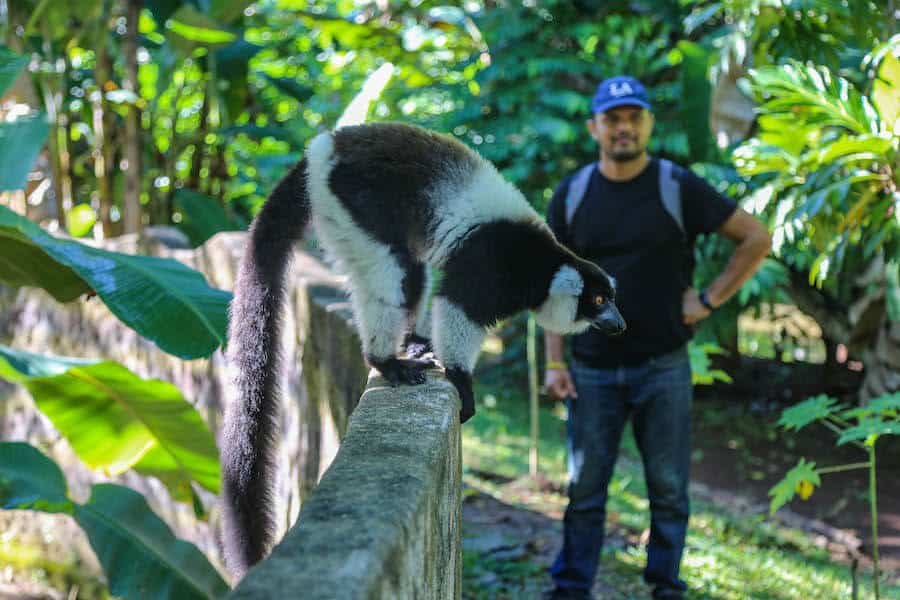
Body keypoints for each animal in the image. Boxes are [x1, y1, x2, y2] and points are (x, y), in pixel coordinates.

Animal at [221, 122, 626, 577]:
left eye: (611, 299)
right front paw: (462, 382)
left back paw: (410, 344)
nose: (620, 324)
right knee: (394, 268)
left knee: (408, 273)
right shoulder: (489, 265)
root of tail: (323, 147)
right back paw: (385, 360)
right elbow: (458, 307)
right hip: (353, 195)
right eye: (598, 301)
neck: (541, 265)